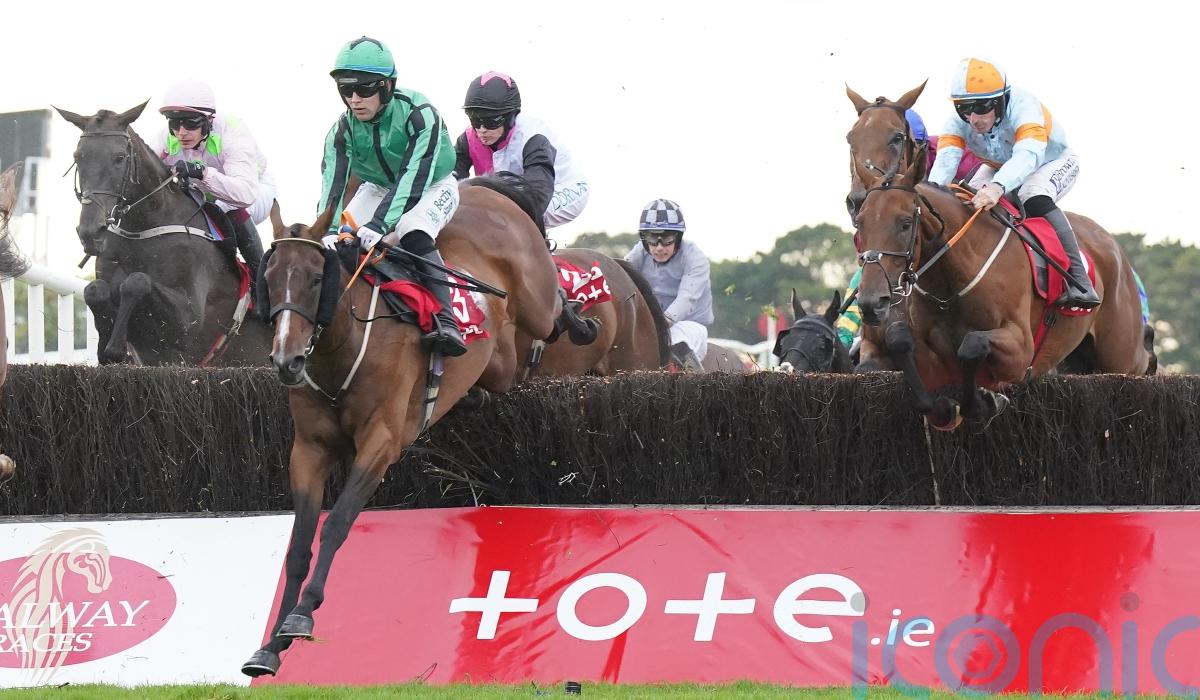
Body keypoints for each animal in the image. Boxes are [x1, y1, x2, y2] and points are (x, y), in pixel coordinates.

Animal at [55, 103, 271, 366]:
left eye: (120, 157)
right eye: (78, 157)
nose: (90, 232)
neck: (142, 231)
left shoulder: (188, 321)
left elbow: (136, 281)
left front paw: (115, 345)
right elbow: (95, 290)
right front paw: (108, 347)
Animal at [241, 176, 598, 677]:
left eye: (315, 278)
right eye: (269, 279)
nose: (286, 360)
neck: (342, 346)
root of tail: (485, 190)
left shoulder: (381, 442)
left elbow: (337, 524)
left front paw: (301, 614)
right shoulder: (308, 449)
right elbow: (298, 545)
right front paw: (269, 647)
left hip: (534, 301)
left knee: (551, 315)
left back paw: (579, 316)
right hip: (495, 356)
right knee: (504, 370)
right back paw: (473, 393)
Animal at [853, 154, 1154, 430]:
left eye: (905, 223)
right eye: (859, 224)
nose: (871, 302)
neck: (953, 279)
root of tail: (1113, 245)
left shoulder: (1021, 353)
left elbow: (972, 344)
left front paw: (984, 402)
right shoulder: (931, 356)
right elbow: (898, 339)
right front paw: (946, 407)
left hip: (1120, 355)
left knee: (1141, 361)